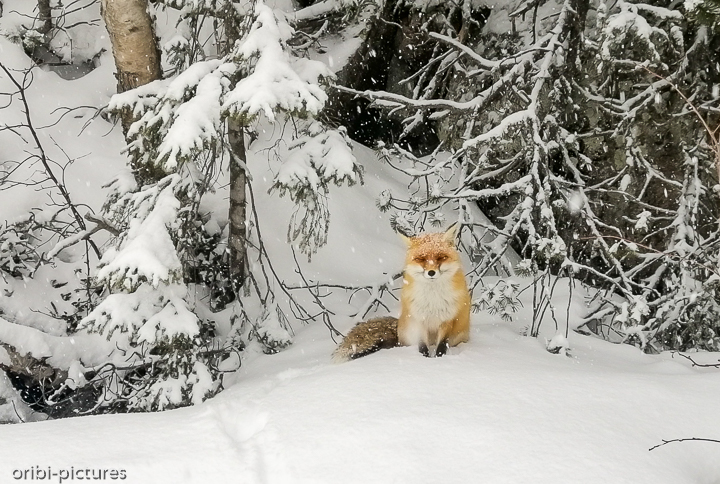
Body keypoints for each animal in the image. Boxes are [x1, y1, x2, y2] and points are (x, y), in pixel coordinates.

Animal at [332, 224, 471, 362]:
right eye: (420, 259)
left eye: (441, 257)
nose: (431, 272)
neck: (432, 298)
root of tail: (398, 326)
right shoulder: (418, 319)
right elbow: (422, 345)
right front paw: (424, 359)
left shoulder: (448, 319)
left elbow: (442, 345)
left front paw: (439, 359)